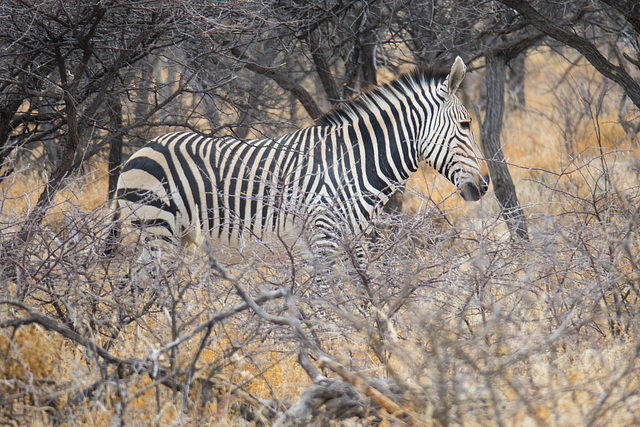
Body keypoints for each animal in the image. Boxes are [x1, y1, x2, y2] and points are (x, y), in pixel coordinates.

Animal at [111, 57, 490, 268]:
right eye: (465, 125)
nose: (485, 186)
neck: (354, 163)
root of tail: (141, 149)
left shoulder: (355, 239)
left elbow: (367, 297)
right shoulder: (323, 237)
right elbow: (326, 301)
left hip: (175, 235)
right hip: (158, 228)